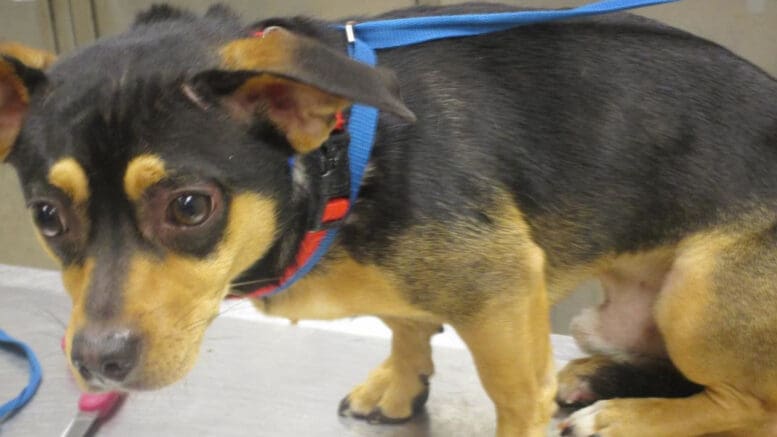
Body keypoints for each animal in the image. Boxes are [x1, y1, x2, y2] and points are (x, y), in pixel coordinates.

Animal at [1, 3, 776, 436]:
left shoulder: (500, 290)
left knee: (750, 404)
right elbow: (404, 322)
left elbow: (513, 401)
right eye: (46, 215)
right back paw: (592, 377)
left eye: (189, 206)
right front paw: (401, 384)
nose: (96, 363)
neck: (333, 160)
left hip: (695, 299)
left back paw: (624, 416)